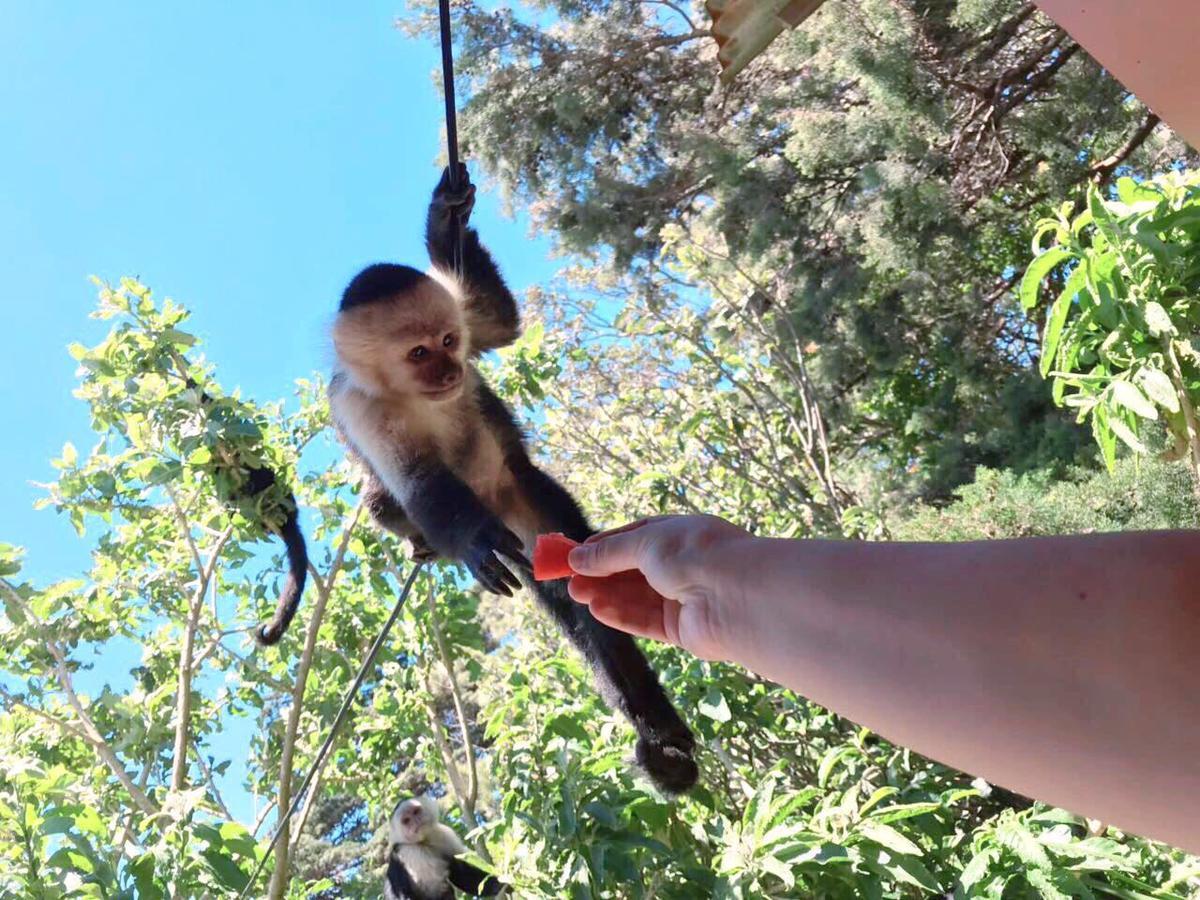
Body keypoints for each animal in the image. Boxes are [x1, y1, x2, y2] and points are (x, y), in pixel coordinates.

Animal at [328, 168, 700, 796]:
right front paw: (471, 542)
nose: (449, 372)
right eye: (418, 353)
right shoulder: (362, 409)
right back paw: (426, 543)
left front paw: (445, 216)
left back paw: (656, 727)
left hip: (524, 498)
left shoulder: (463, 320)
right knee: (384, 502)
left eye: (448, 343)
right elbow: (420, 485)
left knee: (575, 586)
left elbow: (500, 324)